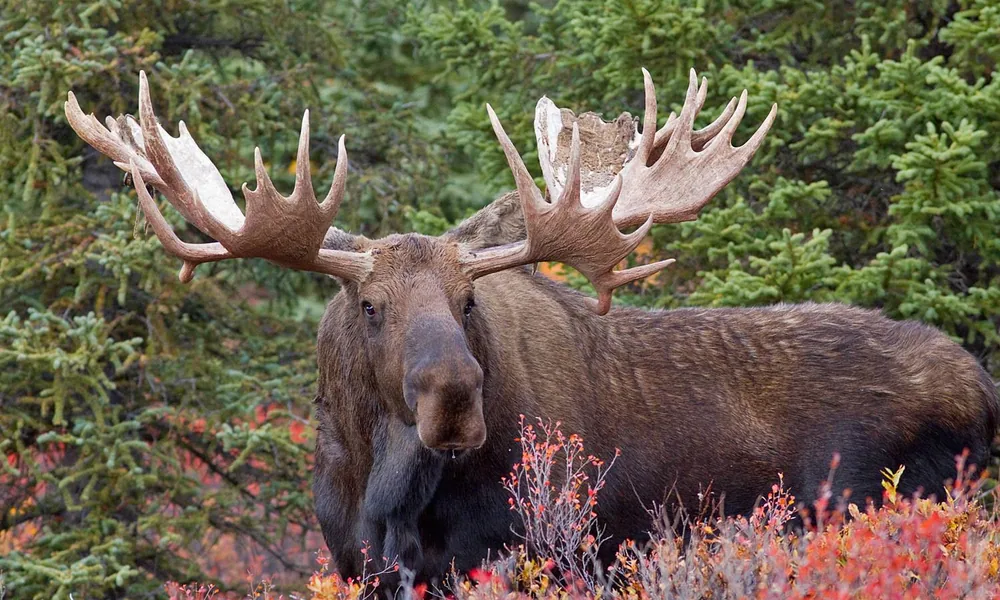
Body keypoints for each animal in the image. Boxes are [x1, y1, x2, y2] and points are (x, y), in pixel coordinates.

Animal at [65, 69, 999, 585]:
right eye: (368, 306)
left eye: (468, 302)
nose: (453, 396)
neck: (382, 492)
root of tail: (984, 386)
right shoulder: (355, 564)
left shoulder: (539, 550)